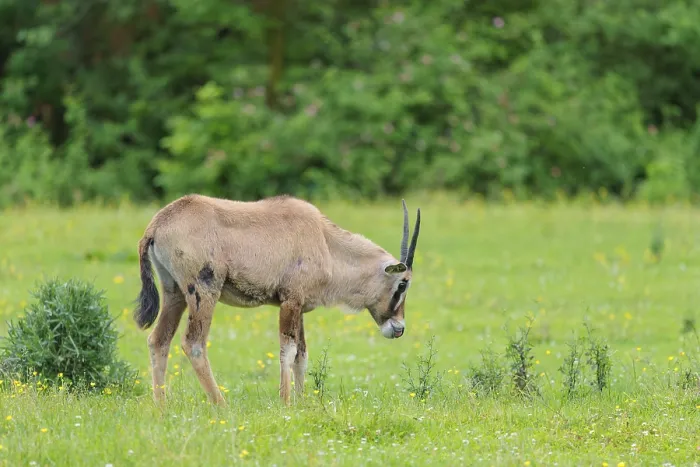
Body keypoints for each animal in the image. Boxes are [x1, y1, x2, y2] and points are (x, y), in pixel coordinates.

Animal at [132, 194, 421, 405]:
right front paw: (286, 402)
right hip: (203, 293)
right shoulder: (290, 302)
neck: (325, 242)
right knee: (193, 344)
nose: (399, 328)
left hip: (175, 295)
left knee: (158, 341)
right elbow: (288, 350)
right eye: (403, 283)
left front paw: (303, 403)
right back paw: (221, 405)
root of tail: (158, 223)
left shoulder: (300, 307)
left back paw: (162, 406)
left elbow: (302, 354)